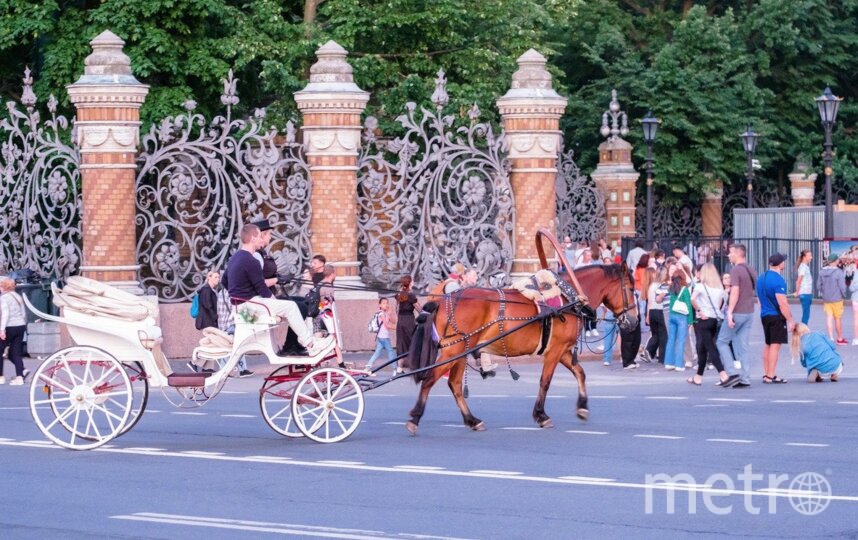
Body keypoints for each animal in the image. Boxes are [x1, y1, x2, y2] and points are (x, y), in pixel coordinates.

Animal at [402, 264, 636, 436]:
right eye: (632, 289)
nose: (633, 321)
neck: (568, 299)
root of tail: (443, 300)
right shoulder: (555, 351)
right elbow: (545, 381)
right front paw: (541, 415)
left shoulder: (562, 350)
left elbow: (580, 372)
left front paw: (582, 407)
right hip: (453, 351)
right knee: (429, 379)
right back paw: (415, 417)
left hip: (460, 351)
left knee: (455, 384)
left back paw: (472, 420)